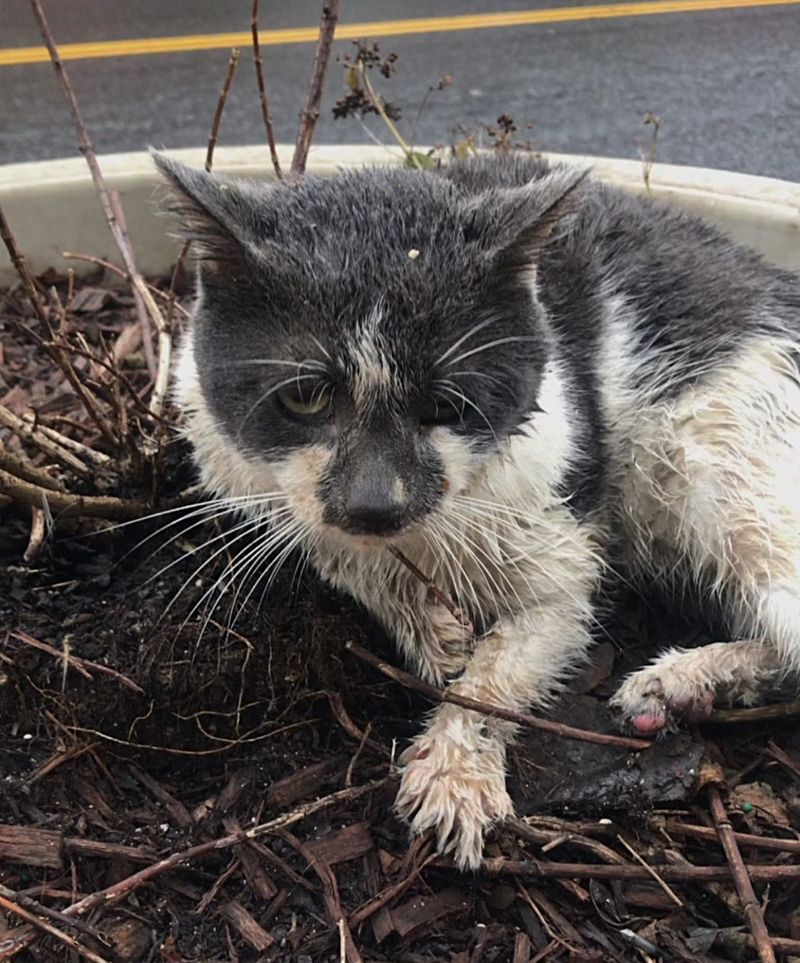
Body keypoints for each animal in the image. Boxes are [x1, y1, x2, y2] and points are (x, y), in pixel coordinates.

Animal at [153, 153, 800, 872]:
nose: (375, 503)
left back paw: (681, 676)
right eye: (304, 398)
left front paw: (455, 773)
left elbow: (494, 673)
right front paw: (430, 629)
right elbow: (335, 548)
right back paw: (683, 689)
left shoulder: (562, 557)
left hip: (719, 470)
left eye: (445, 406)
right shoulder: (247, 475)